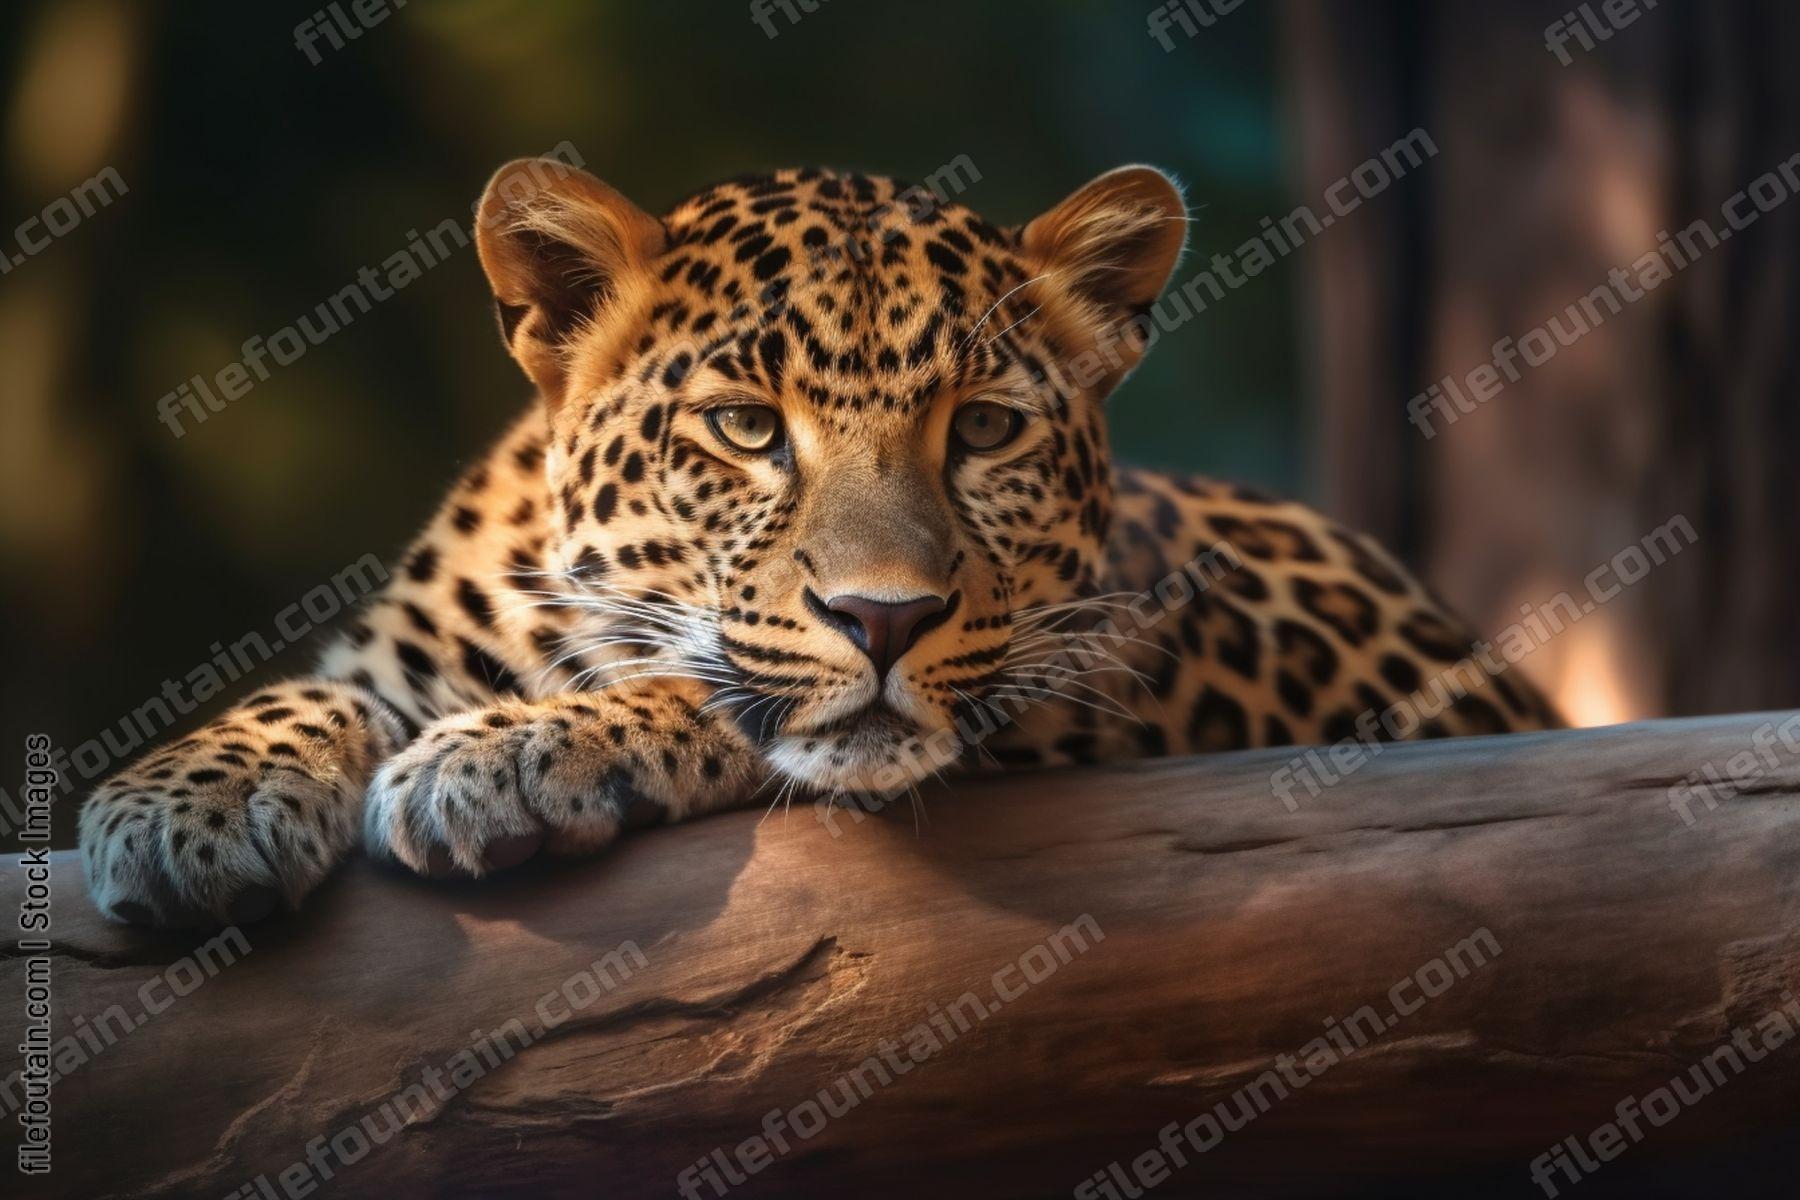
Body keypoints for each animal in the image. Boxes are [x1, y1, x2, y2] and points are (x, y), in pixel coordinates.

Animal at [80, 158, 1559, 927]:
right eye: (744, 427)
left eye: (984, 430)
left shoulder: (1077, 682)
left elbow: (715, 691)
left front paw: (505, 757)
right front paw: (186, 803)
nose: (887, 618)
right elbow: (308, 694)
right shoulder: (398, 652)